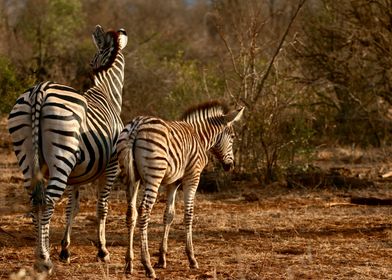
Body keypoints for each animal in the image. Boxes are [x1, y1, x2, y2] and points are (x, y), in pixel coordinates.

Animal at [7, 25, 127, 272]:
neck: (106, 92)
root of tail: (40, 90)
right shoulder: (111, 166)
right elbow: (102, 207)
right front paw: (102, 251)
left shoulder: (76, 175)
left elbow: (73, 208)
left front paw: (65, 250)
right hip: (62, 156)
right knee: (48, 201)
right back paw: (44, 259)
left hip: (27, 155)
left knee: (35, 201)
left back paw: (40, 256)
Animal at [117, 100, 245, 278]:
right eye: (232, 137)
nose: (230, 166)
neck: (200, 137)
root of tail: (137, 124)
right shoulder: (192, 177)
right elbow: (188, 215)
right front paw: (192, 258)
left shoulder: (173, 182)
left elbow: (169, 215)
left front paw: (162, 258)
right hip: (153, 176)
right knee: (144, 211)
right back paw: (147, 265)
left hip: (130, 178)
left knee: (131, 213)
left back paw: (129, 264)